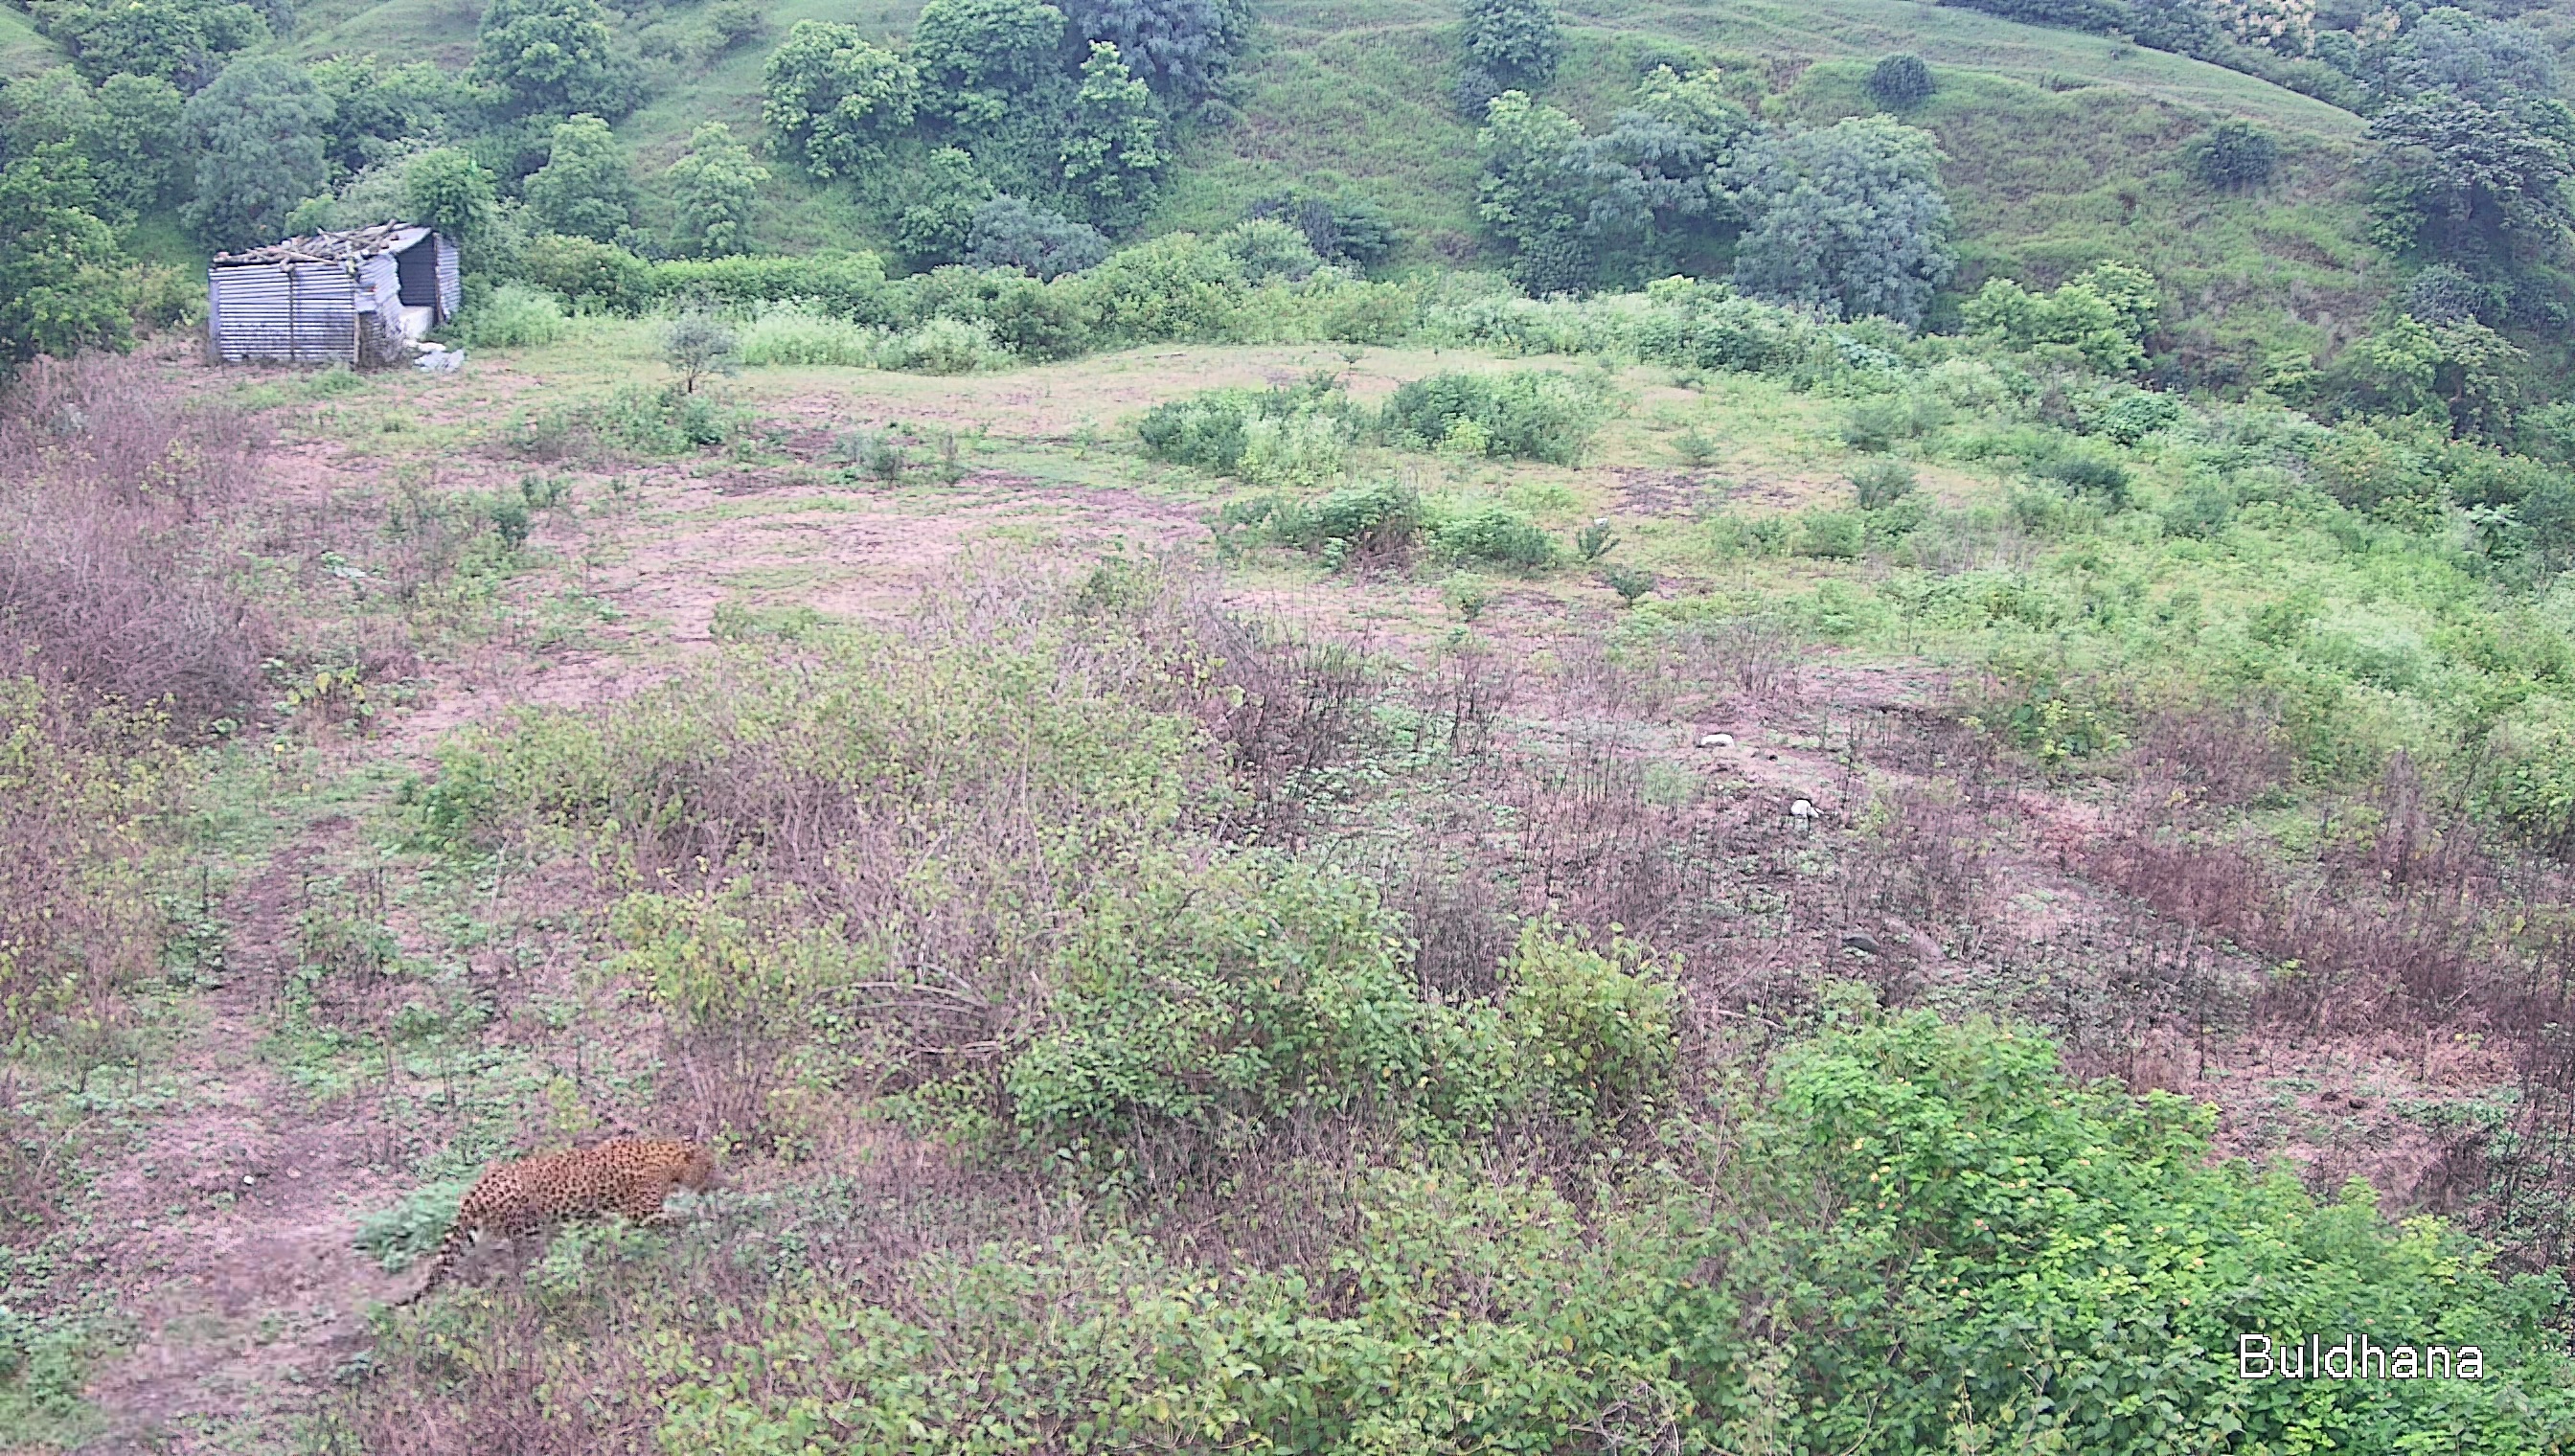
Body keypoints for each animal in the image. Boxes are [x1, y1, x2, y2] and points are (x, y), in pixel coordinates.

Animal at [396, 1138, 720, 1306]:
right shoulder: (642, 1210)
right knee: (516, 1255)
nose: (717, 1182)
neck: (667, 1156)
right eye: (709, 1167)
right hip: (524, 1224)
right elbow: (673, 1218)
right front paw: (701, 1219)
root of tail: (475, 1189)